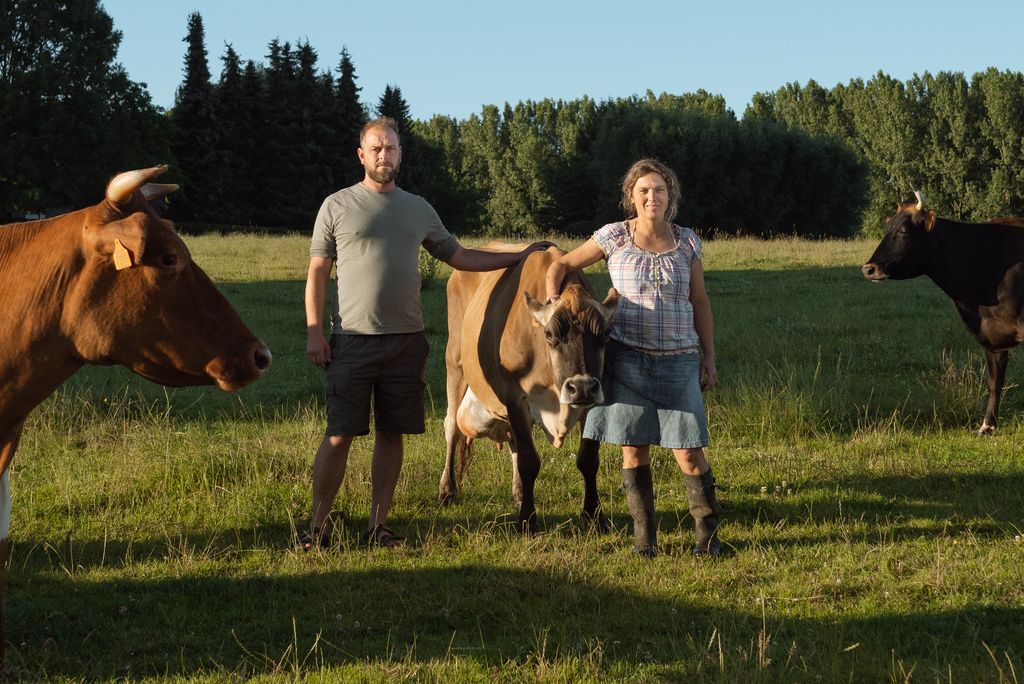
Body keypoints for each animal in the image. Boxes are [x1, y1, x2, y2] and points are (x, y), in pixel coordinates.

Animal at [438, 246, 614, 532]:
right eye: (550, 335)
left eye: (606, 334)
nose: (581, 388)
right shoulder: (516, 397)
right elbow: (529, 460)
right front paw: (528, 520)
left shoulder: (593, 403)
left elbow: (588, 459)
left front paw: (593, 515)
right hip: (454, 362)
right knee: (452, 427)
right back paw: (447, 489)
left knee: (512, 441)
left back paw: (519, 492)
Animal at [868, 193, 1024, 432]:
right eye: (886, 227)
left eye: (904, 230)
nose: (868, 268)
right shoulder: (991, 337)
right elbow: (994, 381)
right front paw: (987, 426)